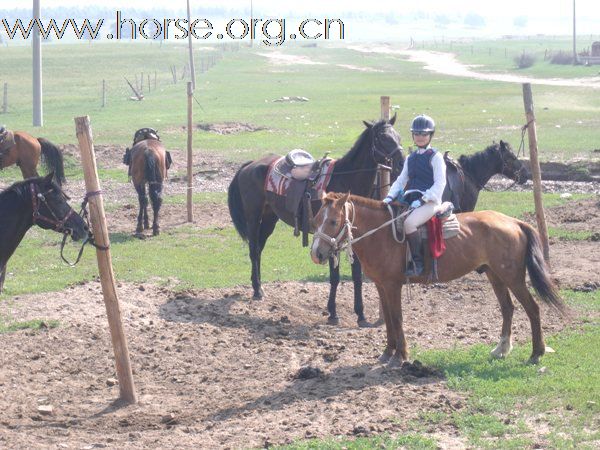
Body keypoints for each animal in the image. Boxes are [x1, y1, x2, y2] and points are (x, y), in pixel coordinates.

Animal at [227, 116, 406, 326]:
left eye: (398, 136)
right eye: (382, 138)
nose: (401, 163)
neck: (346, 180)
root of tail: (251, 164)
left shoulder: (353, 237)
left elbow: (357, 276)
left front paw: (361, 315)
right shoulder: (330, 239)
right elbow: (335, 277)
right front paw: (333, 313)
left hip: (270, 218)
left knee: (259, 250)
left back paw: (259, 285)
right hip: (253, 218)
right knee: (254, 250)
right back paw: (256, 290)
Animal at [312, 192, 564, 366]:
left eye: (333, 221)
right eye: (315, 219)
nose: (316, 254)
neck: (380, 234)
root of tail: (515, 222)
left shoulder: (393, 286)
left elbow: (397, 318)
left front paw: (400, 356)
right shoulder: (381, 286)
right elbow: (389, 321)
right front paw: (388, 352)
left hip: (513, 278)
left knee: (532, 309)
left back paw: (536, 353)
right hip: (495, 275)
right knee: (507, 308)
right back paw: (501, 349)